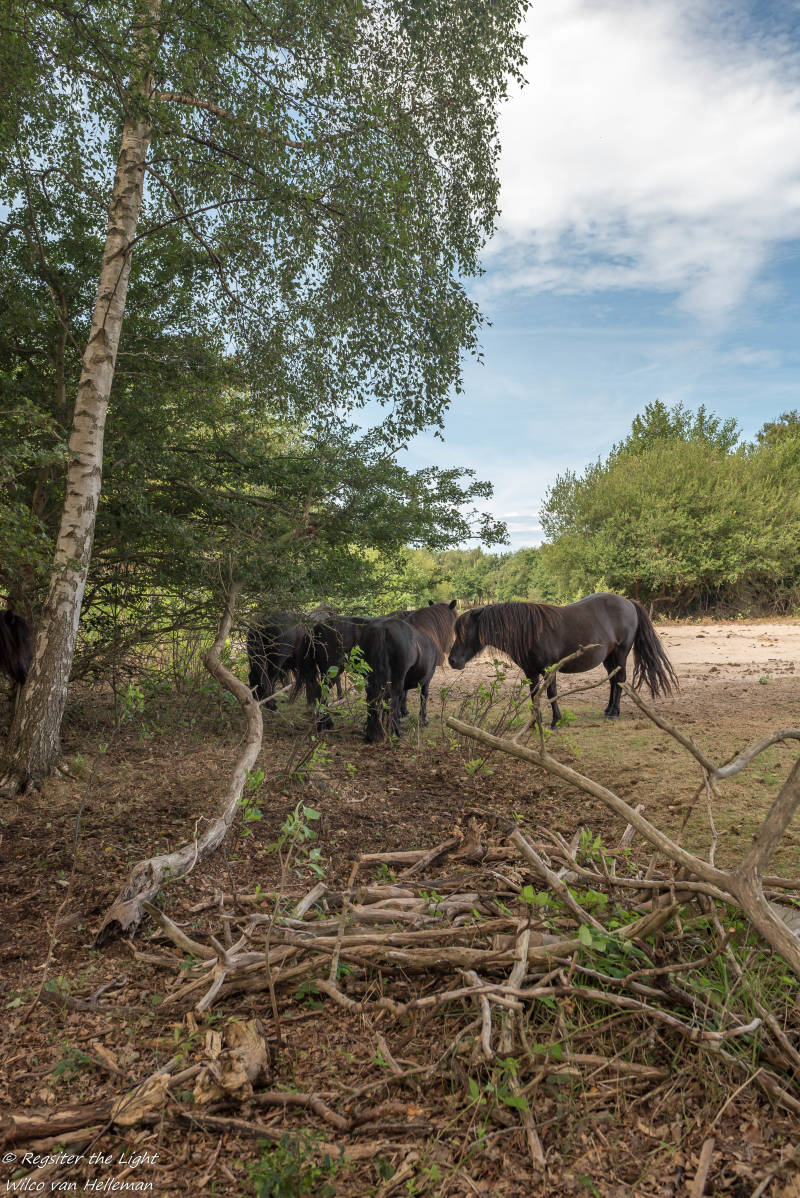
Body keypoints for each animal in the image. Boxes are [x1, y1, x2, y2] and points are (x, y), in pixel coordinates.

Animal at [447, 593, 676, 726]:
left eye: (465, 633)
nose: (452, 661)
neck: (530, 631)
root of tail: (628, 602)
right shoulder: (530, 672)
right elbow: (534, 695)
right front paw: (535, 721)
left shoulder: (550, 669)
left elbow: (551, 693)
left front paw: (556, 721)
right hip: (608, 657)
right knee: (613, 681)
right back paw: (608, 710)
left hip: (620, 653)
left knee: (619, 681)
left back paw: (614, 713)